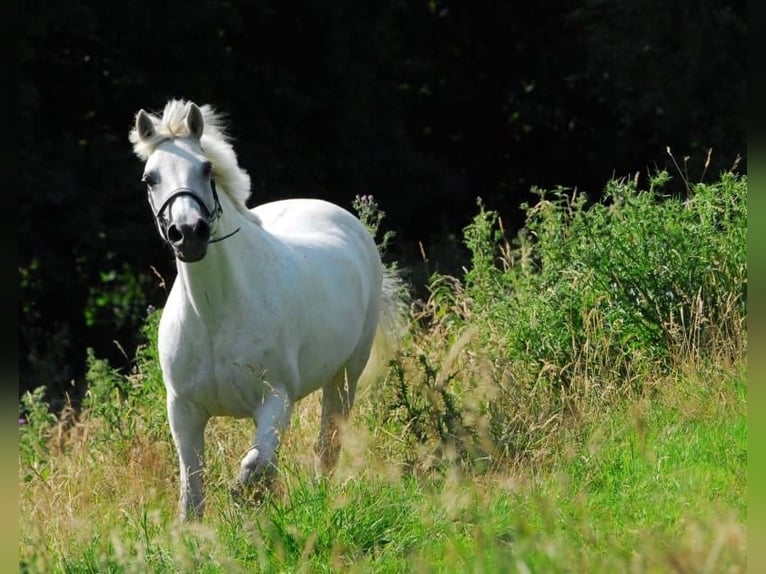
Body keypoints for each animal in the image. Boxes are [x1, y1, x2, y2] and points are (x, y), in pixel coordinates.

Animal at [130, 99, 408, 520]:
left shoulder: (276, 400)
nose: (189, 233)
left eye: (205, 168)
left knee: (328, 444)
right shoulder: (183, 410)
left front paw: (251, 502)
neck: (215, 316)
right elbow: (192, 491)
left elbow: (254, 466)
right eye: (150, 178)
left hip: (345, 375)